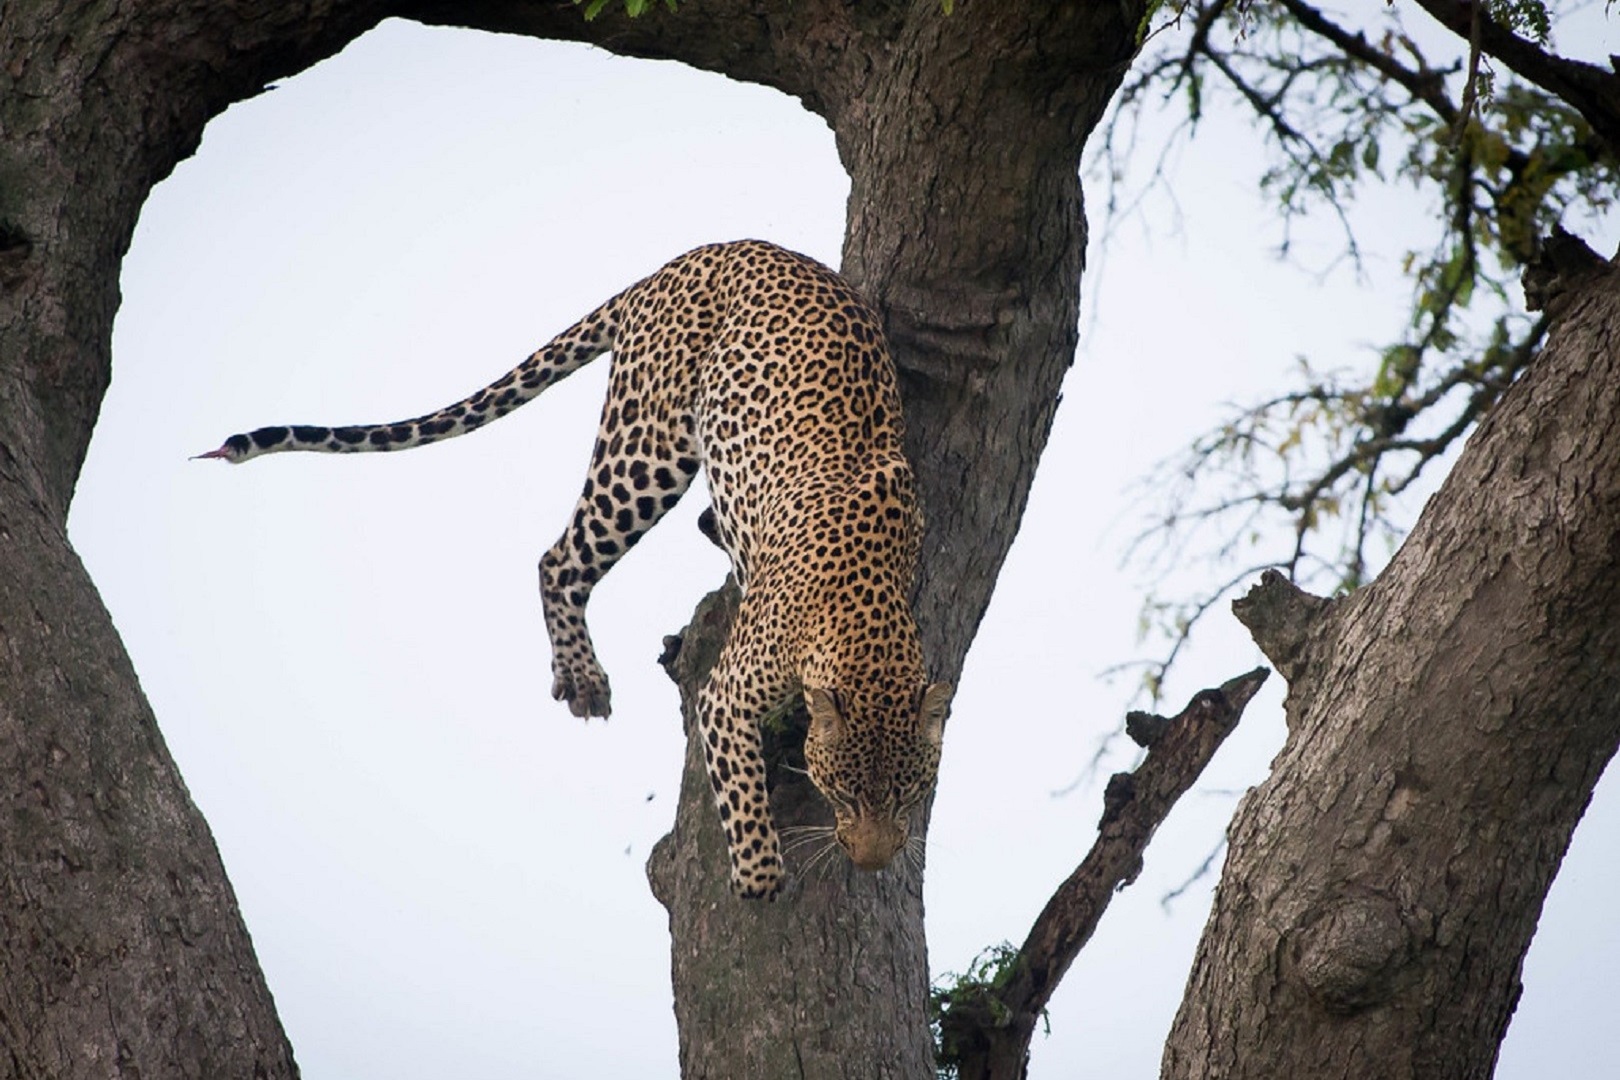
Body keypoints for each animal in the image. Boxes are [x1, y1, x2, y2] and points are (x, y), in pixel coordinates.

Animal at [207, 241, 952, 900]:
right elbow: (739, 786)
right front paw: (760, 876)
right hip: (645, 447)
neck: (865, 620)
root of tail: (699, 253)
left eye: (910, 793)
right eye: (845, 792)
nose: (873, 862)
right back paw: (583, 678)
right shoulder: (726, 694)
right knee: (559, 559)